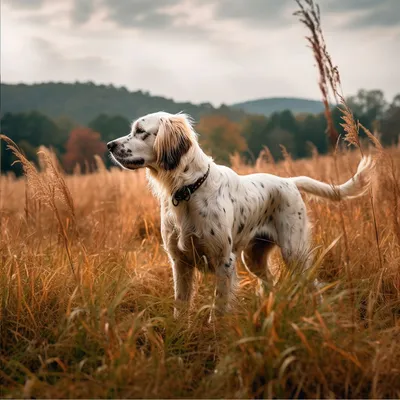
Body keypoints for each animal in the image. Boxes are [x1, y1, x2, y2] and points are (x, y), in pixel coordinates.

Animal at [107, 111, 376, 316]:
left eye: (141, 131)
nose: (109, 145)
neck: (189, 189)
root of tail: (288, 181)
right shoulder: (180, 262)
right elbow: (180, 307)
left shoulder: (223, 261)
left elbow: (219, 307)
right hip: (253, 257)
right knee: (270, 283)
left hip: (294, 252)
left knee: (313, 285)